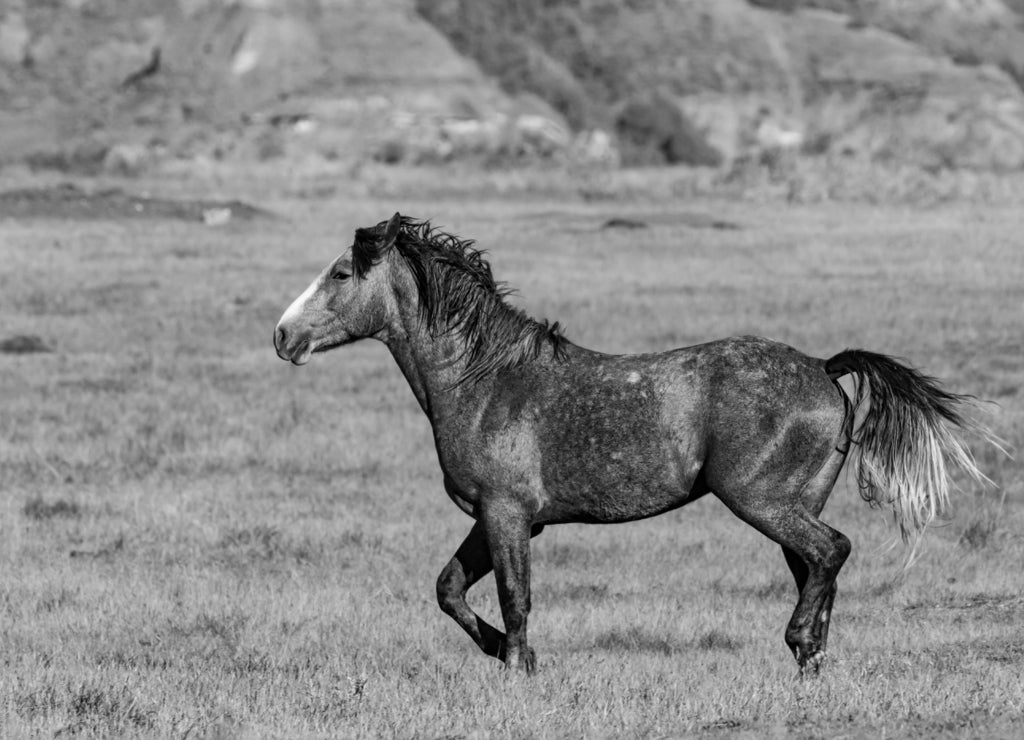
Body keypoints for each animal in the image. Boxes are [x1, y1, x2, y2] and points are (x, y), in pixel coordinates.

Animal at [274, 210, 991, 675]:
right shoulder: (498, 518)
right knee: (819, 567)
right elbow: (450, 589)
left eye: (341, 274)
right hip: (793, 505)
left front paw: (520, 665)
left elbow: (514, 598)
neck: (485, 381)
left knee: (832, 551)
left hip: (761, 501)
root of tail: (824, 368)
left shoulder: (507, 516)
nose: (283, 336)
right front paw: (505, 654)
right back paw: (810, 659)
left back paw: (798, 644)